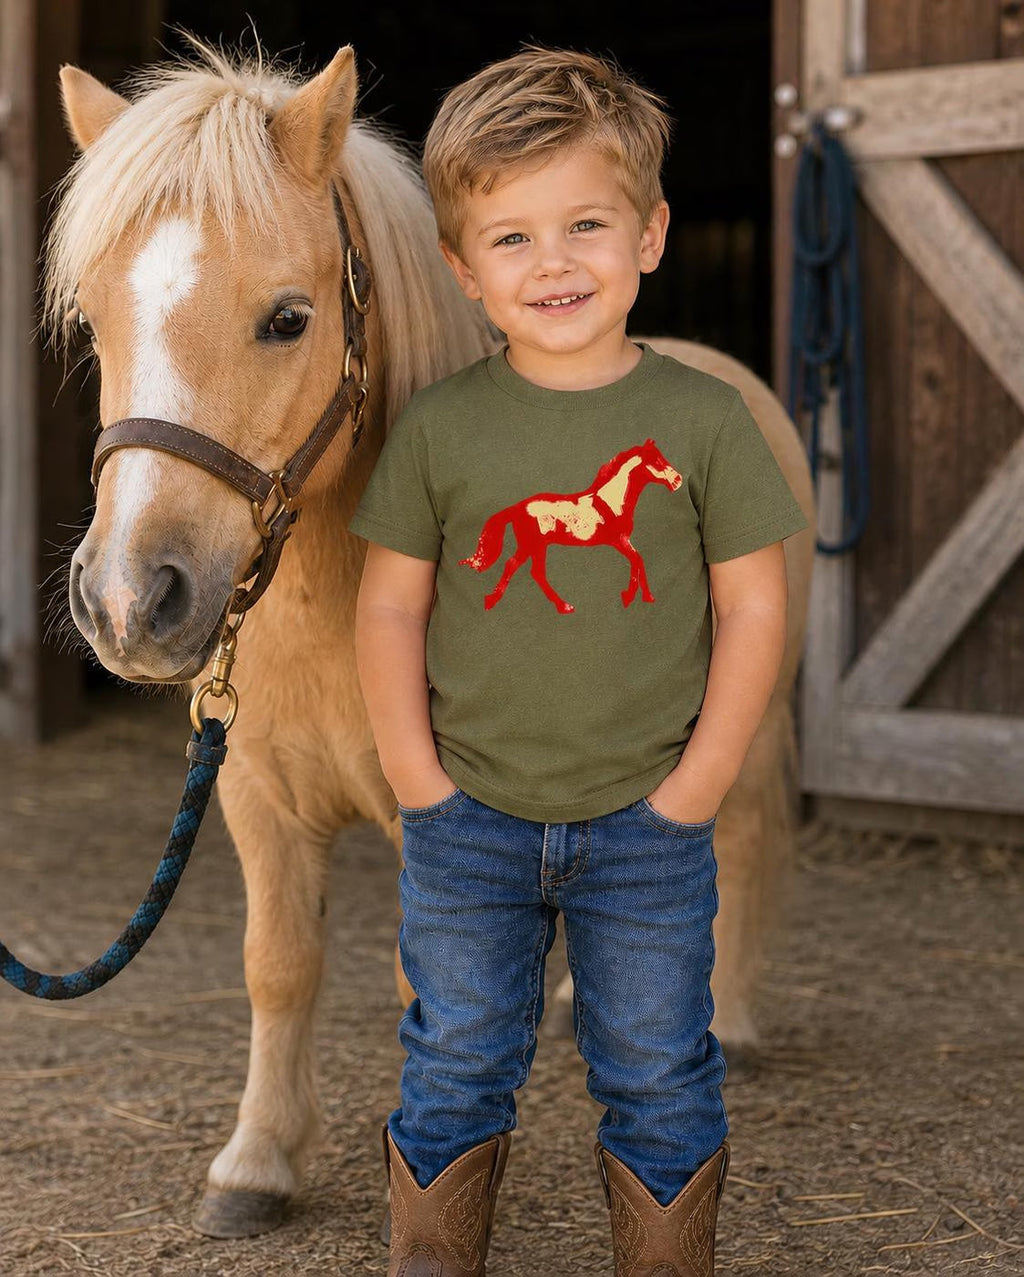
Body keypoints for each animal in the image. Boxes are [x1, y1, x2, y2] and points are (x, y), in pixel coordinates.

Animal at [461, 439, 684, 613]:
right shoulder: (618, 540)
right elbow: (637, 560)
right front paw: (632, 597)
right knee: (515, 566)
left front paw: (641, 596)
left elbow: (638, 561)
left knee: (533, 572)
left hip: (537, 546)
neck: (613, 501)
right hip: (531, 545)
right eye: (656, 460)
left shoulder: (622, 541)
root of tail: (518, 507)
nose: (678, 480)